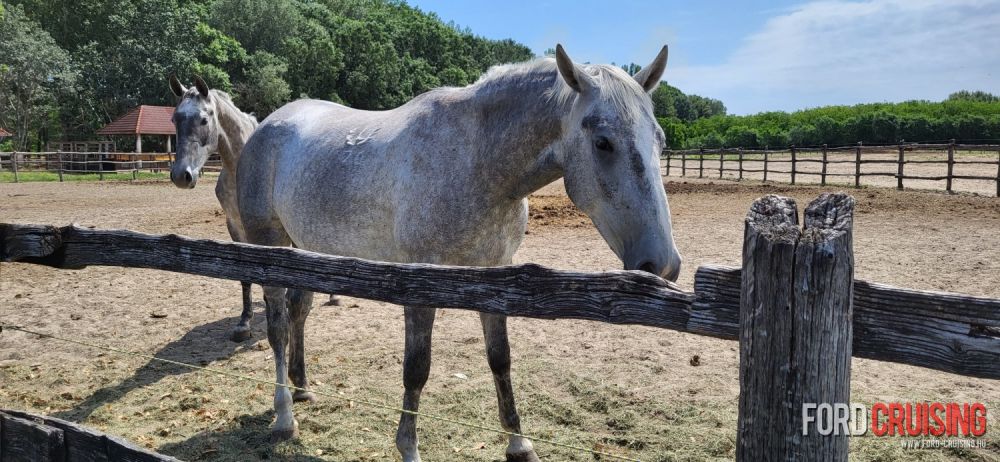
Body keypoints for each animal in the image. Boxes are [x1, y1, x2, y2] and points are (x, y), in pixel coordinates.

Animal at [166, 76, 258, 342]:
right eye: (175, 119)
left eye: (204, 120)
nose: (181, 175)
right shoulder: (234, 225)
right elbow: (245, 274)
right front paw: (244, 323)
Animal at [238, 44, 684, 462]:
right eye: (603, 142)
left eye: (660, 141)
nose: (661, 263)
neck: (476, 160)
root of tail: (268, 125)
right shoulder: (420, 285)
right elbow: (416, 369)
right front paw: (409, 448)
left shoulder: (495, 274)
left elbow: (500, 358)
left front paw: (519, 444)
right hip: (269, 247)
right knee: (278, 327)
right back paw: (284, 415)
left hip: (304, 252)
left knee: (298, 312)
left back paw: (302, 389)